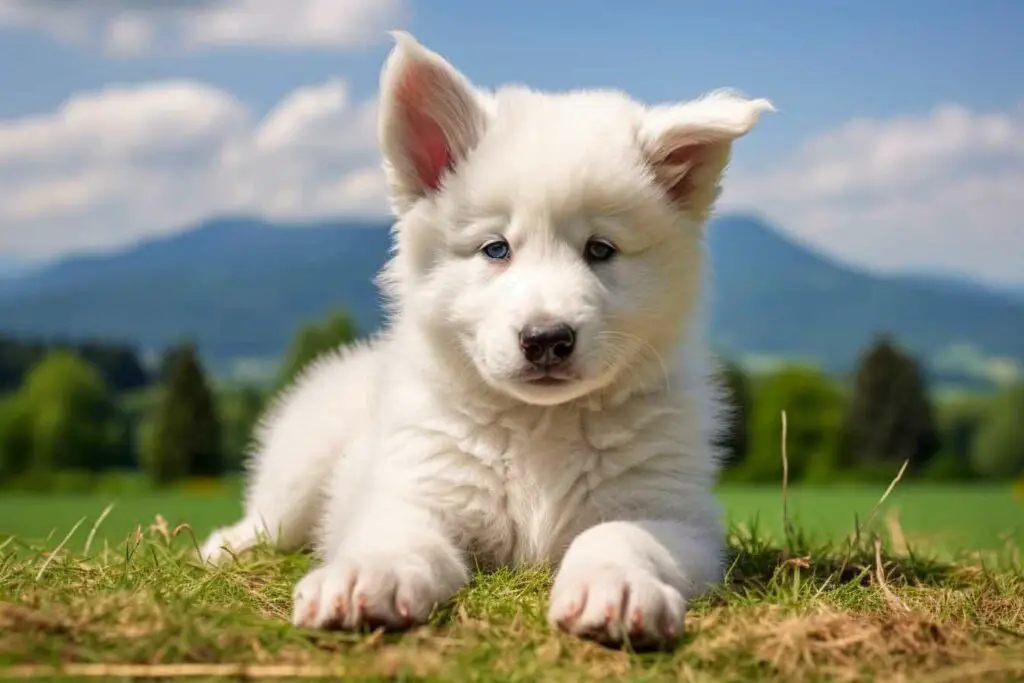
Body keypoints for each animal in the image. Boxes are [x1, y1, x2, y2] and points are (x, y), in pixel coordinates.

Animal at [199, 31, 770, 651]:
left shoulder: (673, 515)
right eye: (496, 249)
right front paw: (361, 580)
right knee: (267, 517)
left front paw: (615, 589)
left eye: (600, 249)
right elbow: (396, 541)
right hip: (301, 461)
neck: (541, 426)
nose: (547, 338)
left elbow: (620, 534)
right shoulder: (417, 493)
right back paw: (225, 547)